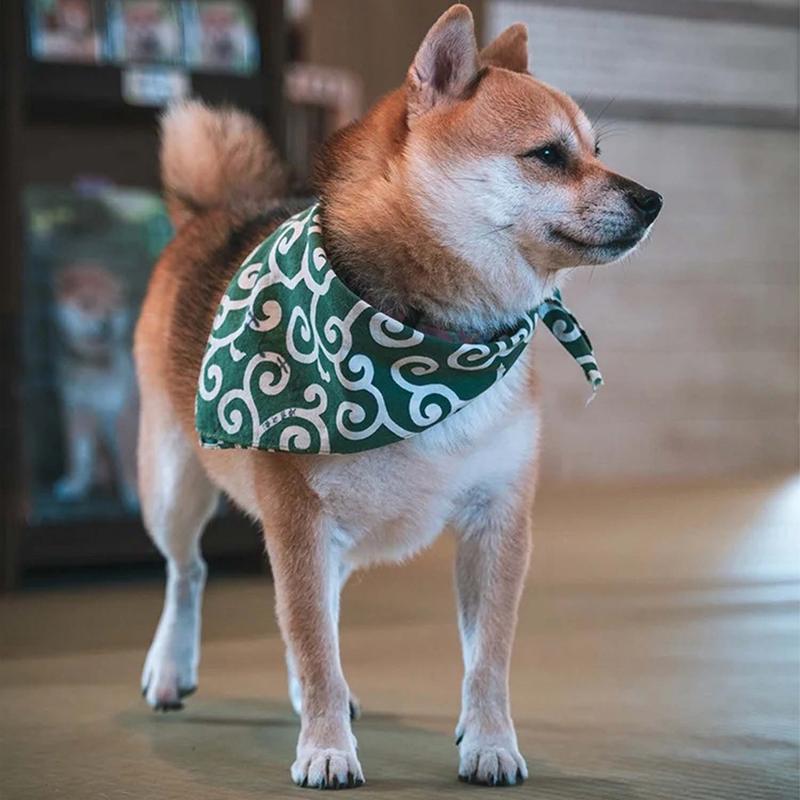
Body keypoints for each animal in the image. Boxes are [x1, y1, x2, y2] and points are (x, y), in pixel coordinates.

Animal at [136, 6, 664, 792]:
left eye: (598, 152)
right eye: (548, 154)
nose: (653, 200)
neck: (434, 350)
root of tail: (216, 211)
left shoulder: (497, 521)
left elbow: (485, 660)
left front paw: (489, 742)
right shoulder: (298, 522)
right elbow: (313, 641)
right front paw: (325, 748)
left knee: (311, 612)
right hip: (175, 484)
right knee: (191, 573)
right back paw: (172, 667)